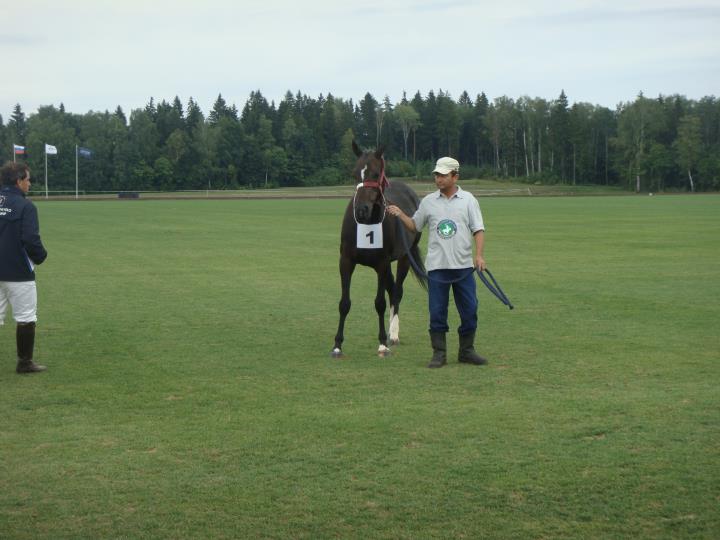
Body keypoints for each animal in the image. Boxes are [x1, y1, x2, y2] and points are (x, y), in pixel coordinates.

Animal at [331, 141, 427, 358]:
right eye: (355, 173)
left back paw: (393, 334)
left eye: (375, 174)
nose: (361, 210)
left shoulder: (382, 264)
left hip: (404, 258)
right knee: (392, 290)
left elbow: (380, 303)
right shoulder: (346, 262)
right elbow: (344, 303)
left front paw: (382, 343)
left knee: (397, 292)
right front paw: (337, 345)